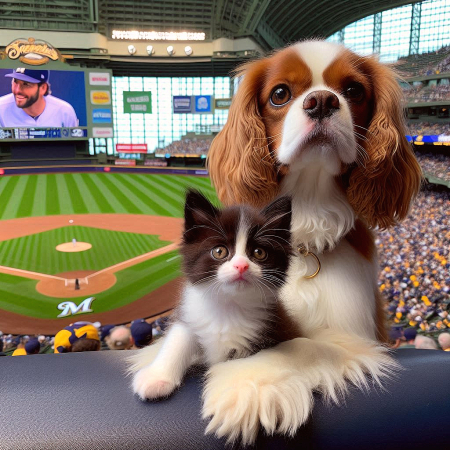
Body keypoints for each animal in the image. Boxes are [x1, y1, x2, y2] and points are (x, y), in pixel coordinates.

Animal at [130, 190, 298, 400]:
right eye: (219, 251)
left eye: (259, 253)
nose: (241, 266)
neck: (229, 305)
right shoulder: (190, 313)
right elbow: (177, 339)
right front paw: (157, 377)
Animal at [200, 41, 422, 442]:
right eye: (279, 94)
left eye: (353, 91)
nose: (321, 101)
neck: (308, 209)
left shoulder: (357, 334)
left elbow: (304, 344)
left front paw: (249, 383)